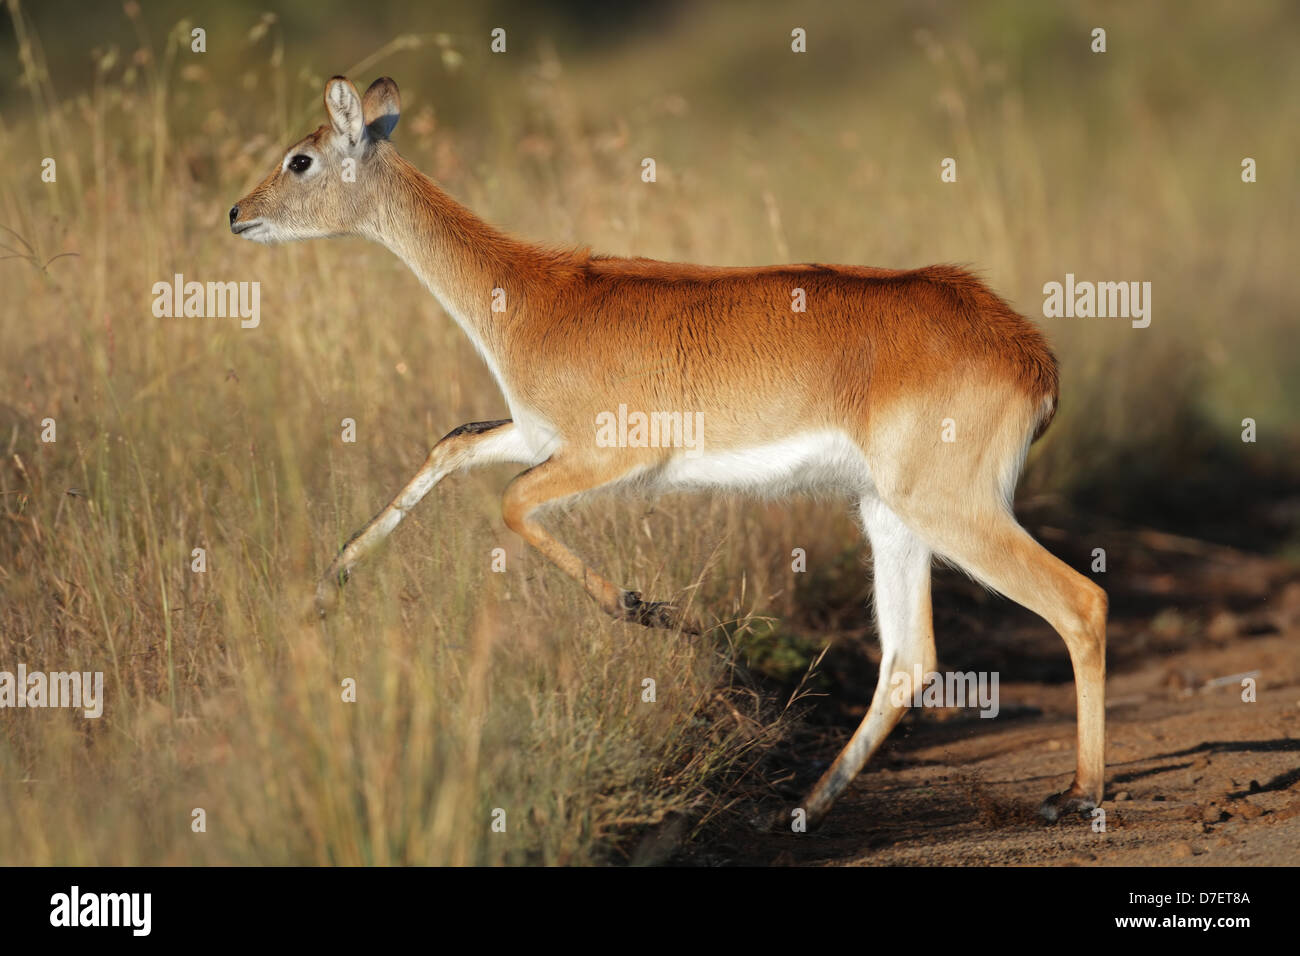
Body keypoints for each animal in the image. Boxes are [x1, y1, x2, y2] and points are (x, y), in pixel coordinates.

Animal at [231, 78, 1107, 832]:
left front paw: (650, 610)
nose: (237, 213)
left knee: (1081, 603)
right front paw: (322, 593)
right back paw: (796, 810)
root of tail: (1033, 357)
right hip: (889, 513)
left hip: (948, 511)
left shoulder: (609, 453)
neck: (531, 300)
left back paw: (1077, 796)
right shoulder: (537, 434)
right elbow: (451, 444)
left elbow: (509, 500)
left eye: (300, 158)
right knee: (908, 661)